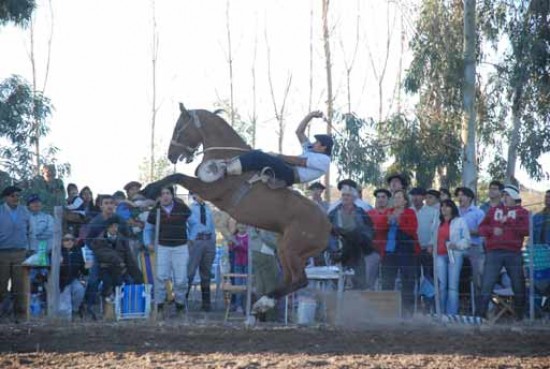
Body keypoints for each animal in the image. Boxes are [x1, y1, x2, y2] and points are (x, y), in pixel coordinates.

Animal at [142, 102, 332, 312]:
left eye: (178, 129)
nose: (171, 155)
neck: (227, 154)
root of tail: (328, 226)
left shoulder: (209, 189)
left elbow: (177, 176)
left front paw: (147, 192)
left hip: (291, 249)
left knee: (300, 280)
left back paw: (264, 302)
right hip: (285, 248)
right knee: (290, 278)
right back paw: (264, 301)